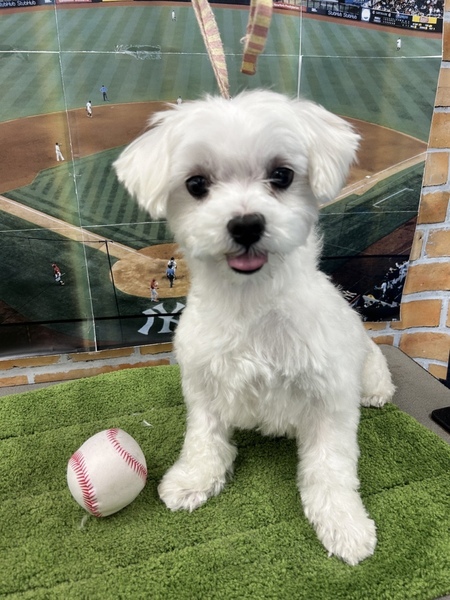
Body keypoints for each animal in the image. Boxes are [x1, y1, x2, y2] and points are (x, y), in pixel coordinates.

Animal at [114, 90, 396, 565]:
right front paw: (193, 479)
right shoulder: (204, 382)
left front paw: (343, 522)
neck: (252, 304)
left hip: (367, 364)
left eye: (282, 175)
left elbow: (330, 467)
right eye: (196, 184)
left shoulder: (330, 400)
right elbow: (204, 439)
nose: (246, 224)